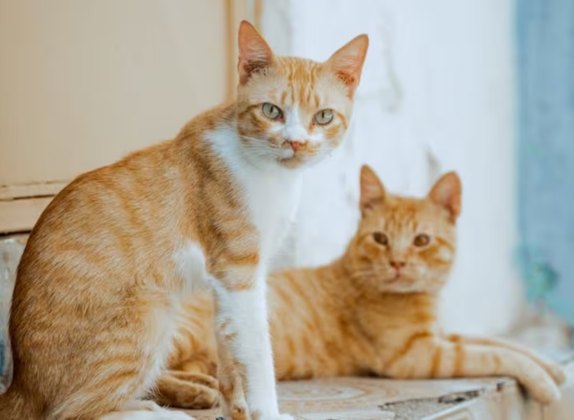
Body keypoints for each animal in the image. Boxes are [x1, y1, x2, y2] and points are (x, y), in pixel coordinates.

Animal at [0, 23, 368, 420]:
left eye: (324, 116)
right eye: (272, 111)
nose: (296, 143)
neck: (270, 173)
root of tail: (21, 385)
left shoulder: (226, 282)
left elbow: (228, 347)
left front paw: (235, 408)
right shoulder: (240, 273)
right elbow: (256, 351)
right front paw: (267, 412)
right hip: (152, 308)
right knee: (73, 411)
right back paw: (161, 412)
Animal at [154, 166, 568, 408]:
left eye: (421, 241)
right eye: (381, 238)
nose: (398, 262)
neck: (423, 299)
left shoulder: (441, 335)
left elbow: (499, 342)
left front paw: (551, 366)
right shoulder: (417, 355)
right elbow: (492, 355)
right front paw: (544, 384)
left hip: (202, 354)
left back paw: (202, 383)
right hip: (182, 335)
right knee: (141, 381)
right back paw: (195, 392)